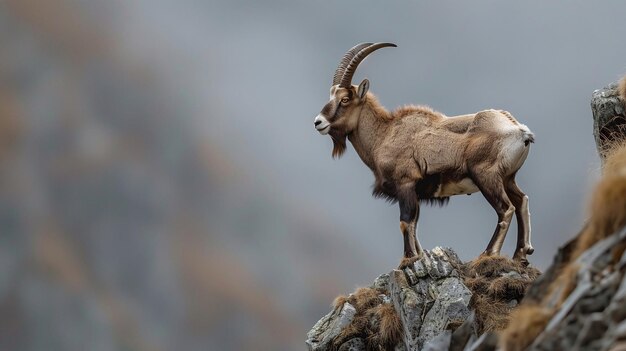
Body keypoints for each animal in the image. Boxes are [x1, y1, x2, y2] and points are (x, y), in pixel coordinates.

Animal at [312, 42, 532, 266]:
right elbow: (415, 224)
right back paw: (521, 254)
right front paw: (419, 254)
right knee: (521, 201)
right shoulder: (415, 192)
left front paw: (409, 258)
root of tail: (519, 130)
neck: (384, 134)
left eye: (345, 99)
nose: (318, 122)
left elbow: (405, 222)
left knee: (505, 209)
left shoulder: (406, 183)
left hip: (486, 177)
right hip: (507, 178)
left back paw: (489, 253)